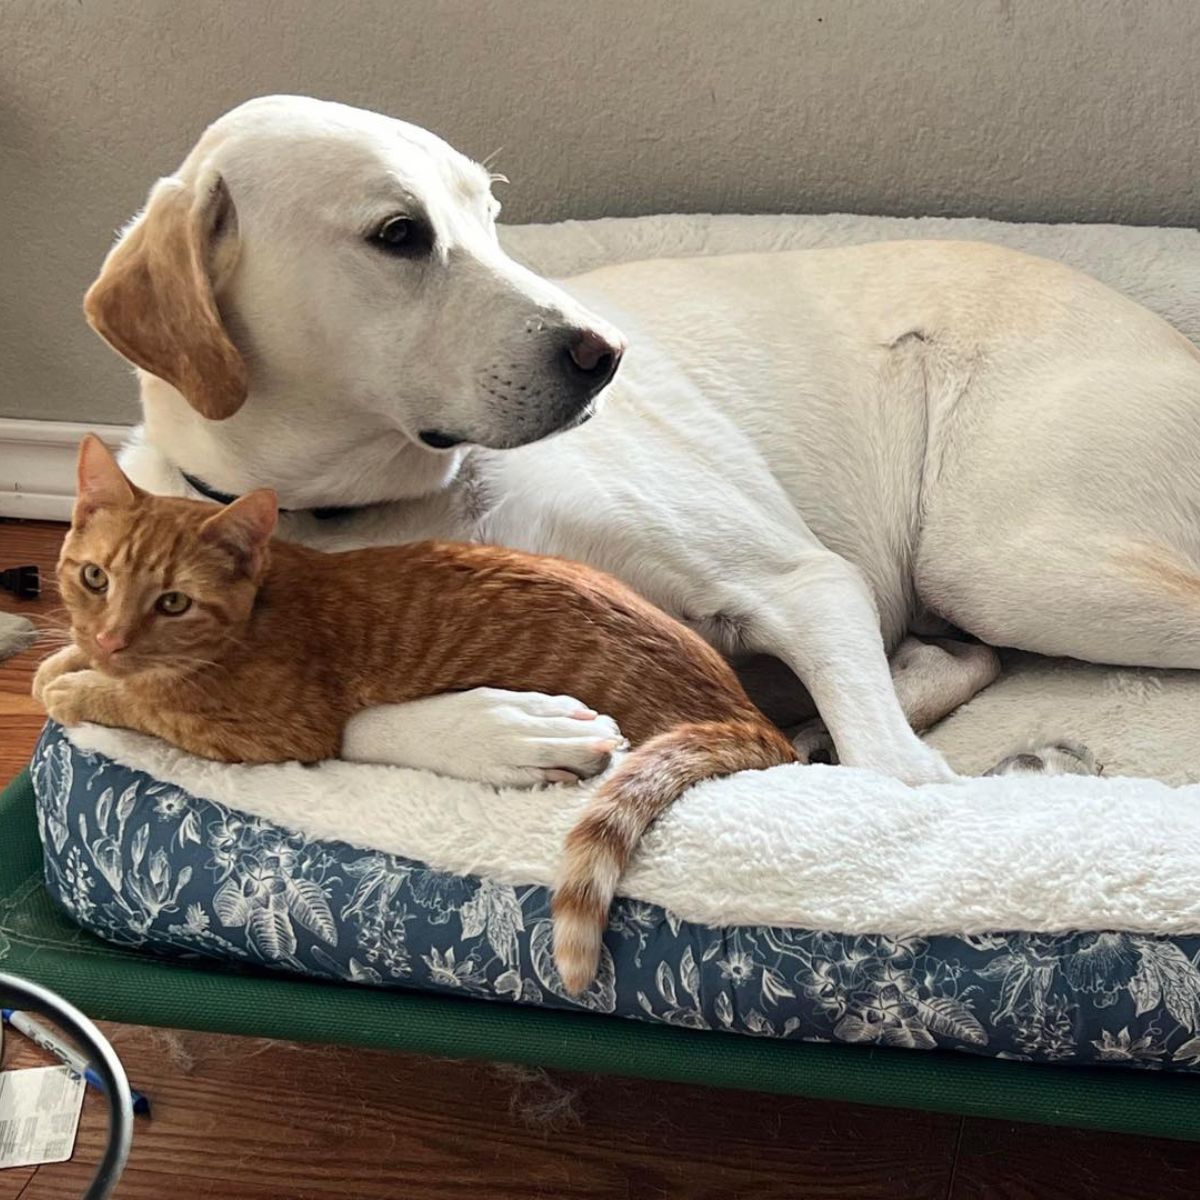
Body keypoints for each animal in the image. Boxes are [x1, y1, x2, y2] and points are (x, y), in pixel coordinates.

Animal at [35, 436, 796, 988]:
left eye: (172, 602)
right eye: (93, 577)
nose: (109, 640)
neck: (263, 602)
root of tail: (749, 716)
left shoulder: (263, 727)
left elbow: (140, 701)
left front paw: (76, 686)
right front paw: (64, 661)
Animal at [82, 96, 1200, 787]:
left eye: (489, 212)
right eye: (400, 233)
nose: (605, 355)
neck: (368, 504)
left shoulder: (804, 582)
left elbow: (884, 761)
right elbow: (334, 721)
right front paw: (502, 725)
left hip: (1000, 559)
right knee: (954, 657)